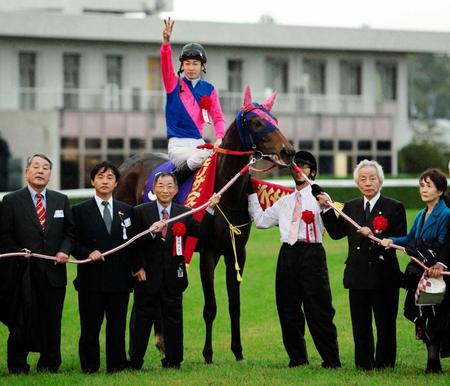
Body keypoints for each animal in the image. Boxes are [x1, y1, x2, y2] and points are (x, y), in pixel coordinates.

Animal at [114, 86, 294, 364]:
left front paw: (238, 351)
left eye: (274, 119)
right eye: (256, 122)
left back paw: (160, 342)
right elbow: (210, 307)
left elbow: (234, 305)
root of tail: (128, 164)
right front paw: (208, 354)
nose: (288, 151)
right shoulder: (208, 253)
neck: (225, 191)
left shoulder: (236, 252)